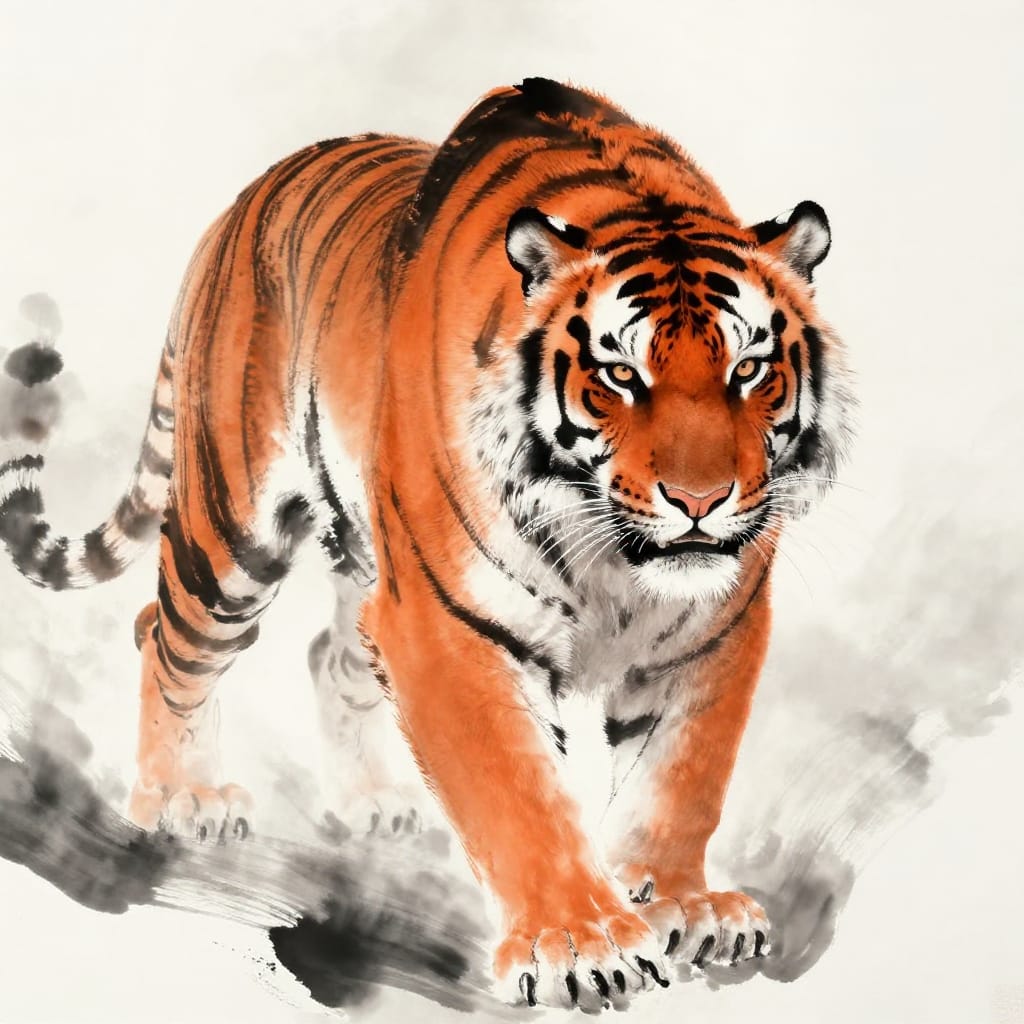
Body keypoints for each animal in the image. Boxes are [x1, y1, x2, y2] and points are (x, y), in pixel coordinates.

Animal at [0, 78, 853, 1009]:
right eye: (621, 375)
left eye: (748, 370)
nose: (701, 500)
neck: (617, 563)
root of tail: (238, 208)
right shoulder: (449, 624)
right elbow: (516, 791)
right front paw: (577, 942)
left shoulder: (716, 633)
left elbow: (682, 777)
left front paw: (684, 906)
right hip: (233, 528)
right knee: (164, 636)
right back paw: (180, 799)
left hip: (364, 556)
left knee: (327, 656)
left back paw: (372, 804)